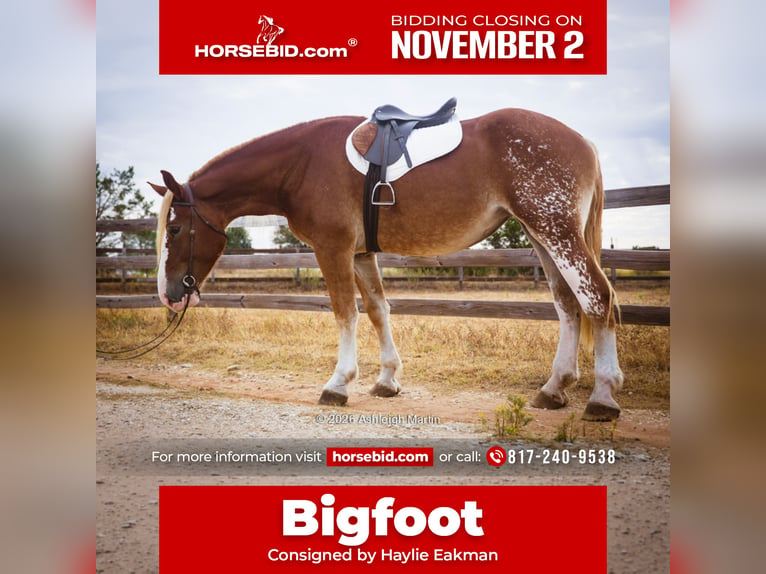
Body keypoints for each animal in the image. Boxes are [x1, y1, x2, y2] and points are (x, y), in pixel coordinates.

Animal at [148, 106, 624, 421]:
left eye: (175, 229)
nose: (168, 296)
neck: (299, 164)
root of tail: (582, 141)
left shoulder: (333, 249)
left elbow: (345, 313)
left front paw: (339, 383)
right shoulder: (361, 254)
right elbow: (378, 310)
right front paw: (387, 380)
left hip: (555, 231)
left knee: (597, 299)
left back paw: (602, 397)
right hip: (543, 236)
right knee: (568, 304)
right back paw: (554, 389)